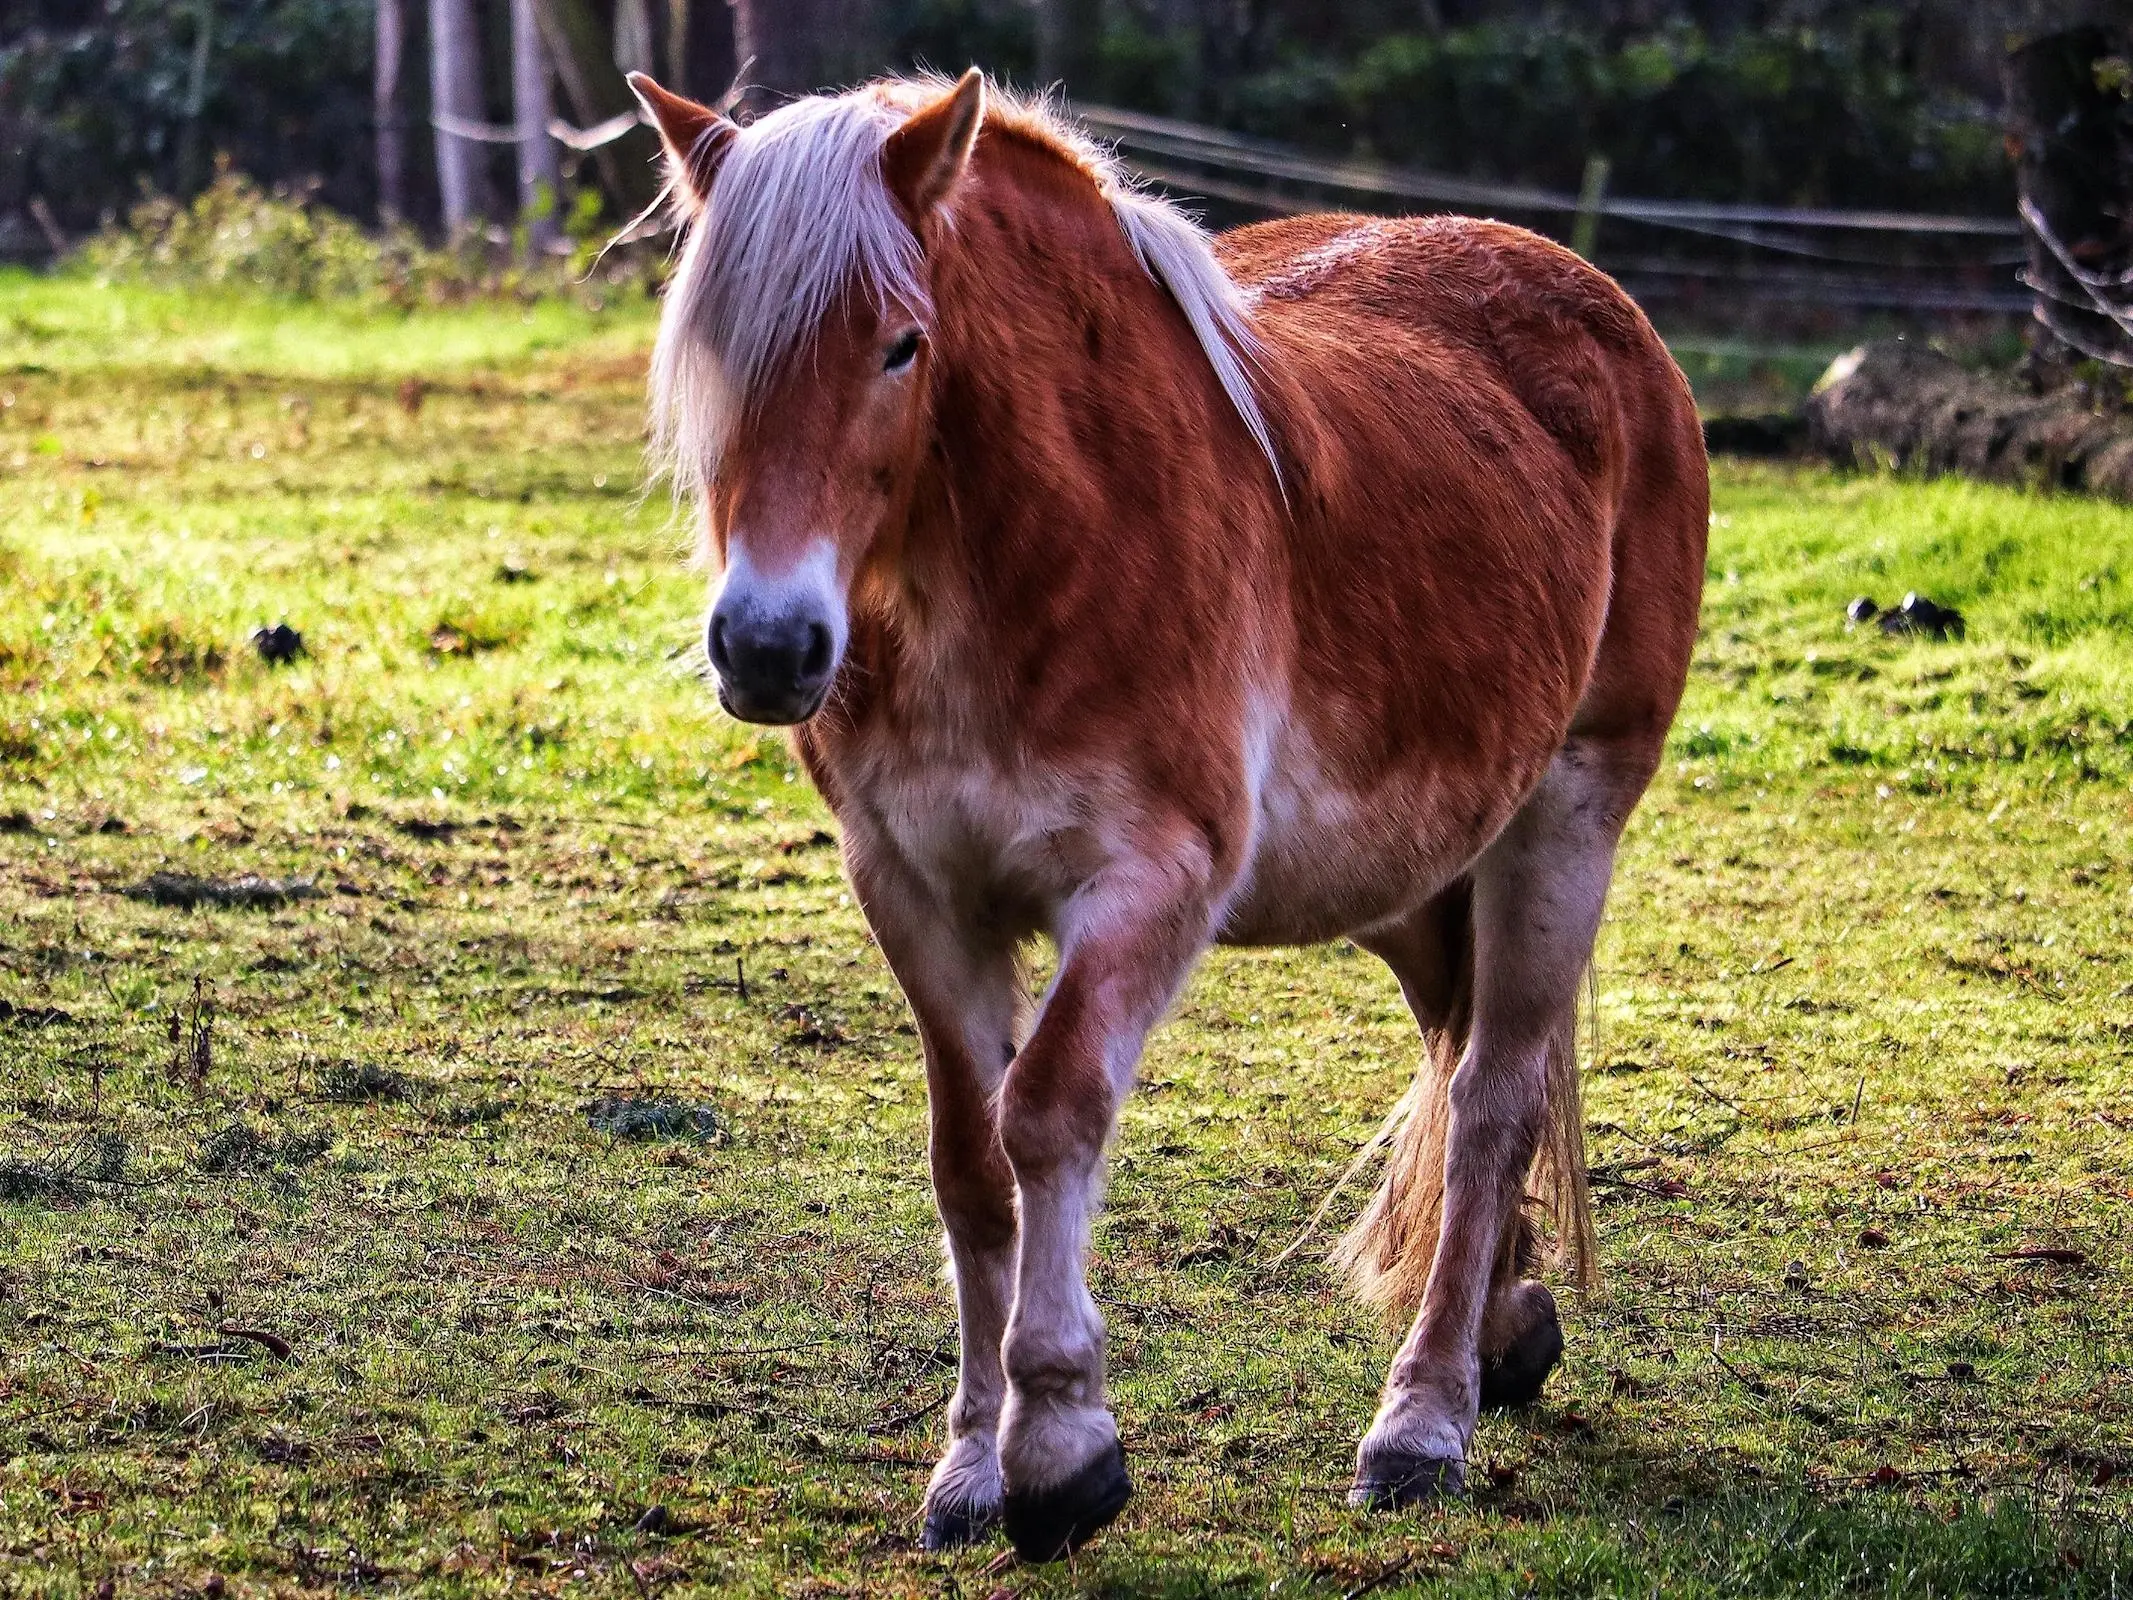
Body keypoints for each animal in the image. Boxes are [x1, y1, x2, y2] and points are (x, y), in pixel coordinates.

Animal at [622, 68, 1706, 1561]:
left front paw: (1062, 1448)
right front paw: (969, 1463)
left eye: (902, 347)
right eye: (713, 350)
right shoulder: (914, 888)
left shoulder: (1150, 882)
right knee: (1461, 1051)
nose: (771, 648)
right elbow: (969, 1159)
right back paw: (1507, 1326)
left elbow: (1046, 1110)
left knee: (1492, 1092)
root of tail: (1607, 313)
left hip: (1566, 815)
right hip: (1416, 876)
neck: (1035, 550)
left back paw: (1422, 1418)